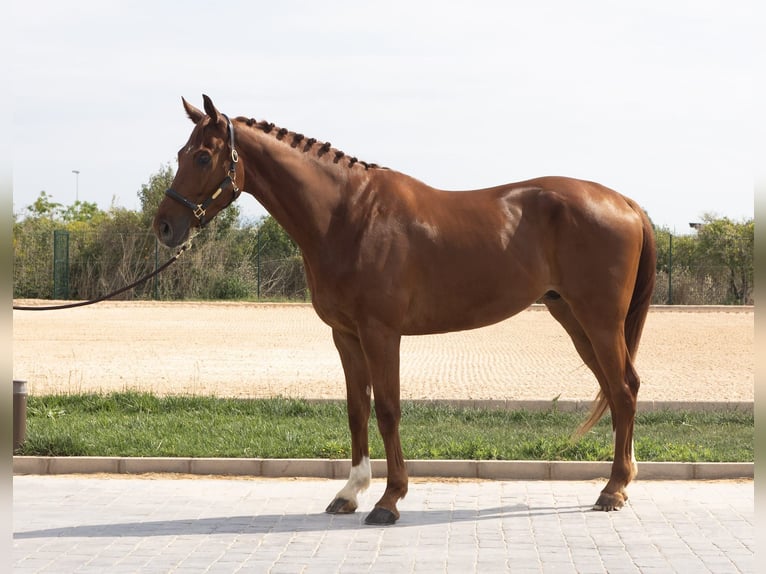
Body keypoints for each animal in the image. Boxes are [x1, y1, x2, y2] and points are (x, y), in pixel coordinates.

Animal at [153, 95, 656, 528]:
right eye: (180, 152)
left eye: (203, 157)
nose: (164, 227)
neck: (348, 216)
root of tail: (626, 203)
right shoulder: (346, 335)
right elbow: (357, 409)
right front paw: (350, 493)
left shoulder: (381, 333)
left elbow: (388, 409)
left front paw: (389, 500)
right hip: (573, 319)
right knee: (619, 389)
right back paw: (622, 481)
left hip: (599, 321)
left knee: (623, 390)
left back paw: (612, 490)